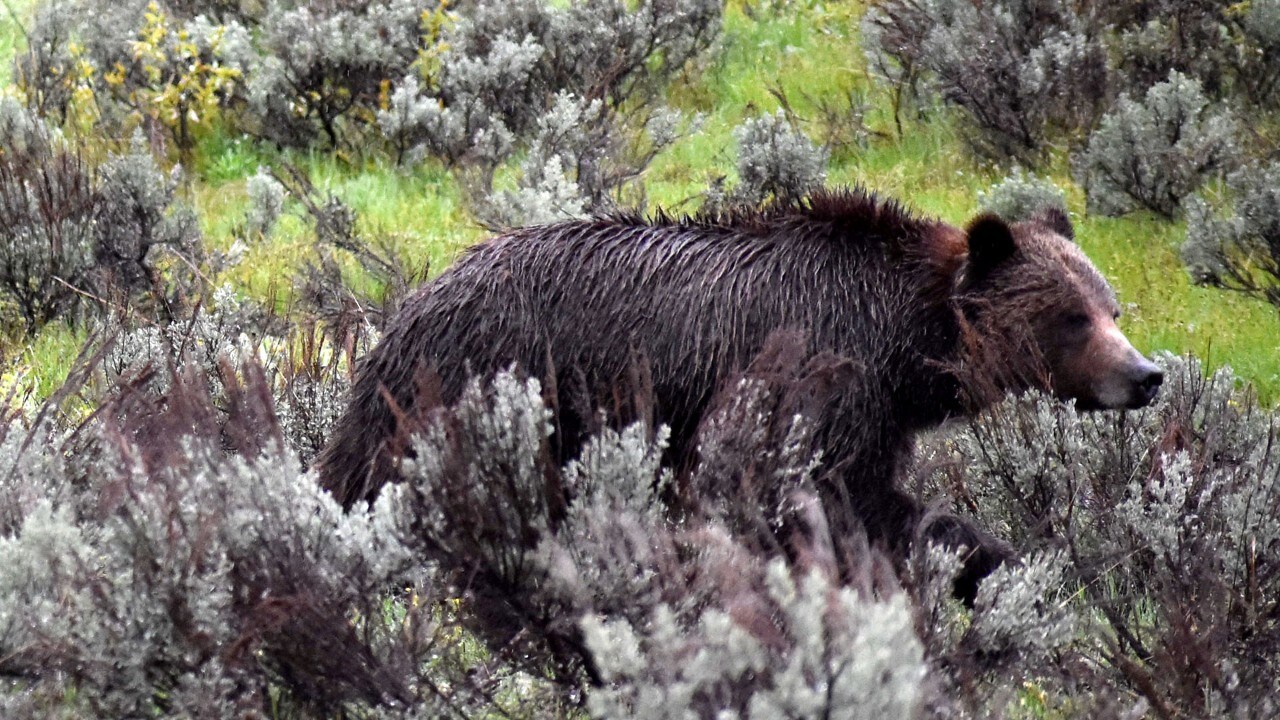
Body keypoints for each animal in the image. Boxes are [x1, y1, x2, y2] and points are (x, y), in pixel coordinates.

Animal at [317, 185, 1162, 599]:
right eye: (1071, 317)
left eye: (1112, 306)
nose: (1146, 376)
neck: (904, 339)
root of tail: (413, 298)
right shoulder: (819, 371)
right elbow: (811, 489)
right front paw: (988, 559)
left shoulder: (879, 409)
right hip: (482, 380)